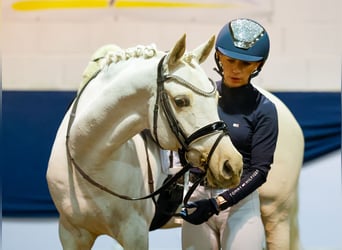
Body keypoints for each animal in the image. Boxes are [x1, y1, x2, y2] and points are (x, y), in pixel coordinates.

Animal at [46, 33, 243, 250]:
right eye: (181, 101)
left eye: (217, 98)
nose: (231, 164)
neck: (90, 157)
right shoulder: (72, 234)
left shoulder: (135, 233)